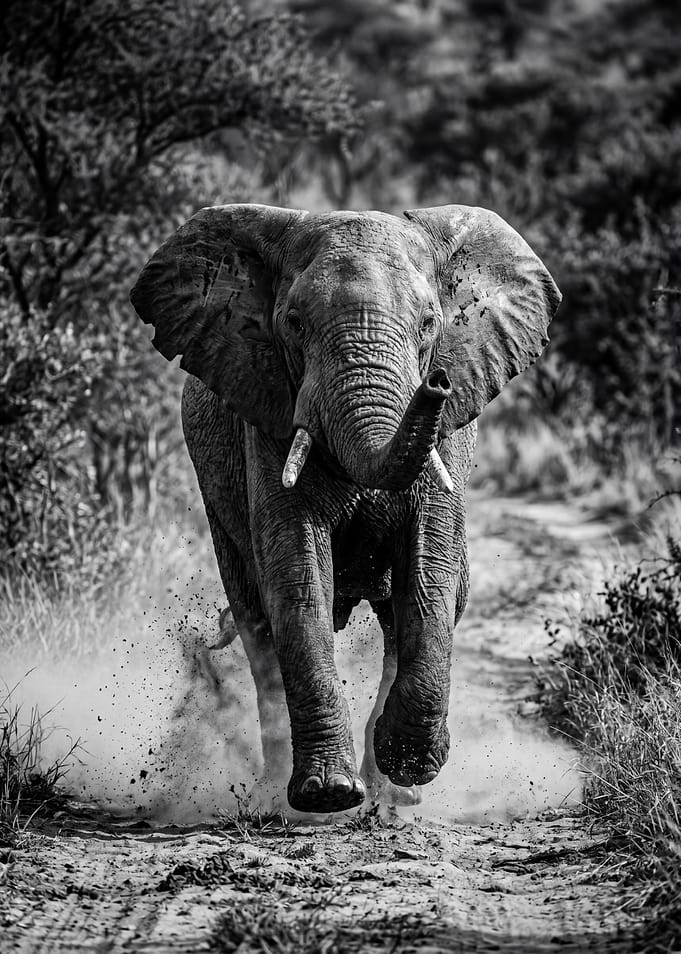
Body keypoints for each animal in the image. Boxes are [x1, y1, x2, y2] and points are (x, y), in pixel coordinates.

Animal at [130, 203, 560, 815]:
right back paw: (278, 795)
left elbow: (429, 576)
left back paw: (394, 797)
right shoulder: (268, 412)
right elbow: (298, 576)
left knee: (400, 618)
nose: (436, 382)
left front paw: (409, 764)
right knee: (256, 621)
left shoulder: (449, 436)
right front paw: (328, 795)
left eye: (430, 323)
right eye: (292, 323)